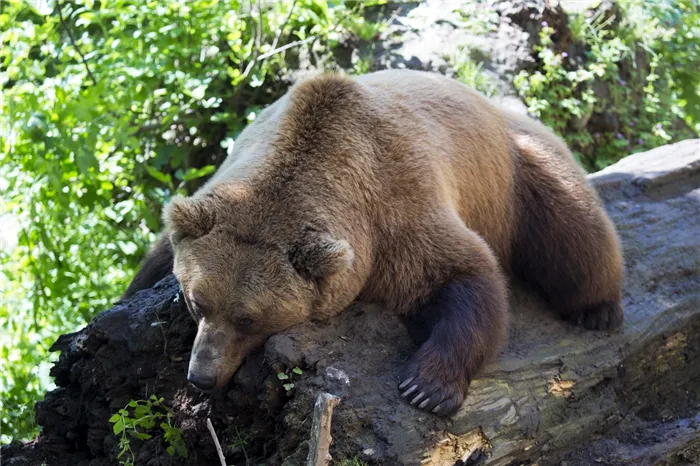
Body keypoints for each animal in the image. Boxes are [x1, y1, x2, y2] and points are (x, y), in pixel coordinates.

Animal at [121, 68, 624, 416]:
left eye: (249, 318)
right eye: (196, 302)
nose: (202, 376)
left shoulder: (396, 213)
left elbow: (467, 273)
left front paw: (427, 387)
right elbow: (155, 259)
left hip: (519, 172)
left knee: (575, 234)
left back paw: (598, 310)